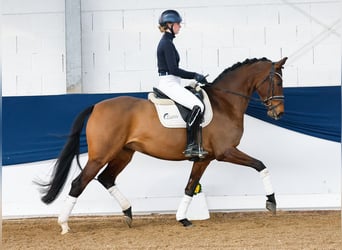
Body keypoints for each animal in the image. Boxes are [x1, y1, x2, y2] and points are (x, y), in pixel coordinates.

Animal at [38, 56, 288, 234]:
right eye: (277, 81)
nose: (279, 113)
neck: (224, 103)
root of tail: (96, 106)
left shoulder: (204, 158)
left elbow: (190, 187)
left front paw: (183, 219)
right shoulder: (226, 152)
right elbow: (260, 165)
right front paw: (271, 202)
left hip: (124, 154)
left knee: (107, 178)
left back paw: (128, 213)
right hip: (102, 155)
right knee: (79, 183)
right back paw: (64, 225)